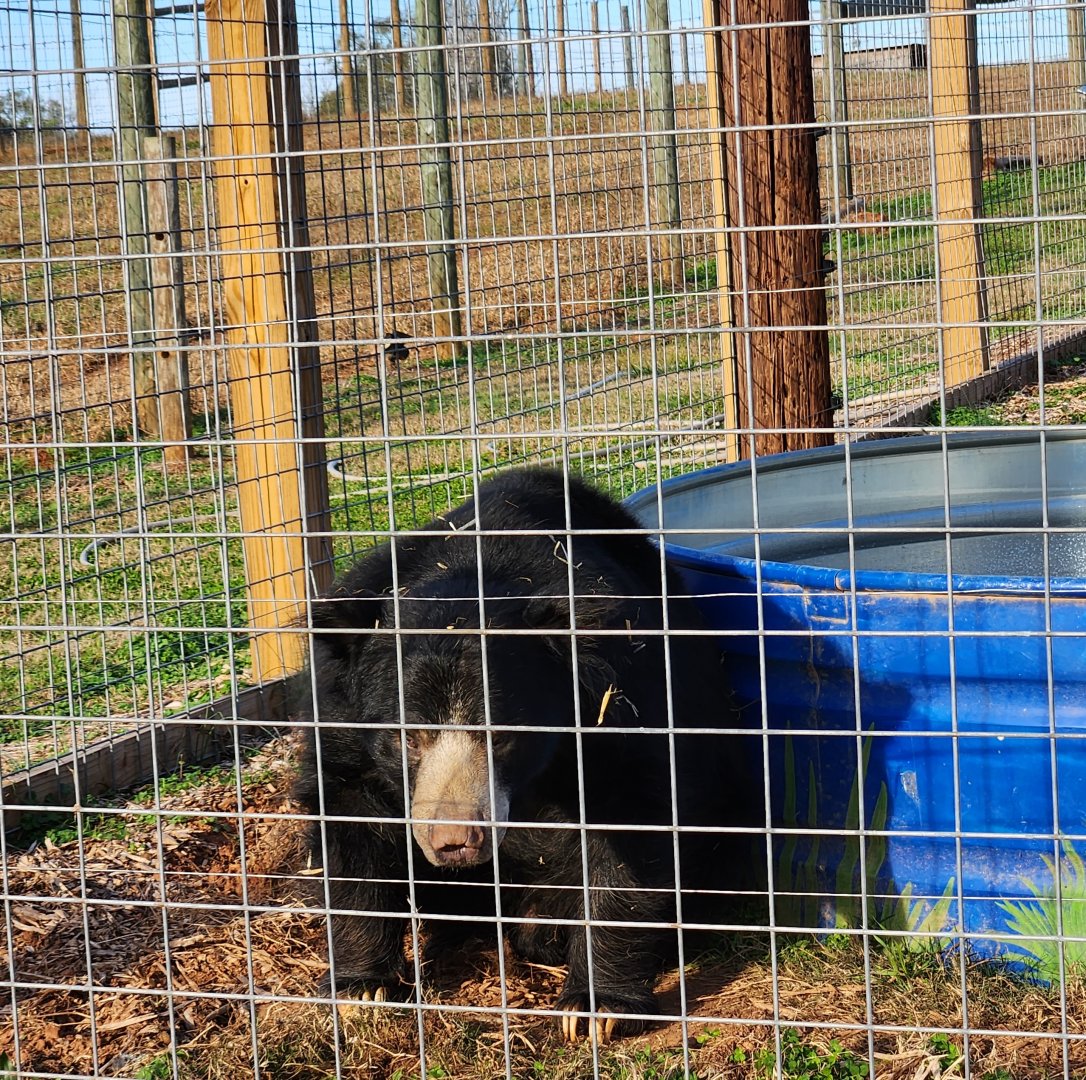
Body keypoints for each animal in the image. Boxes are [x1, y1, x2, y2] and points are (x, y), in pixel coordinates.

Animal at [293, 466, 759, 1042]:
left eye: (502, 734)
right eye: (407, 736)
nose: (455, 842)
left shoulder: (627, 698)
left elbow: (639, 821)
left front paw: (595, 1008)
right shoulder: (339, 717)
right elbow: (350, 821)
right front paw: (361, 990)